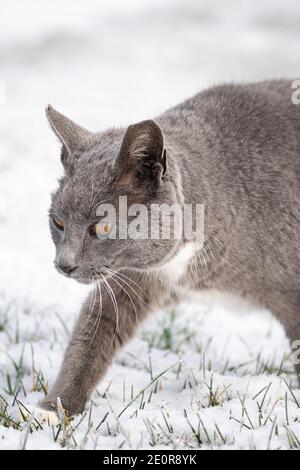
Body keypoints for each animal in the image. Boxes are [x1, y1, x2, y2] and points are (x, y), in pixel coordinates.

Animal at [34, 80, 300, 418]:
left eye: (102, 227)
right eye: (57, 222)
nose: (63, 264)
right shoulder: (138, 276)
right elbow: (93, 334)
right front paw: (55, 409)